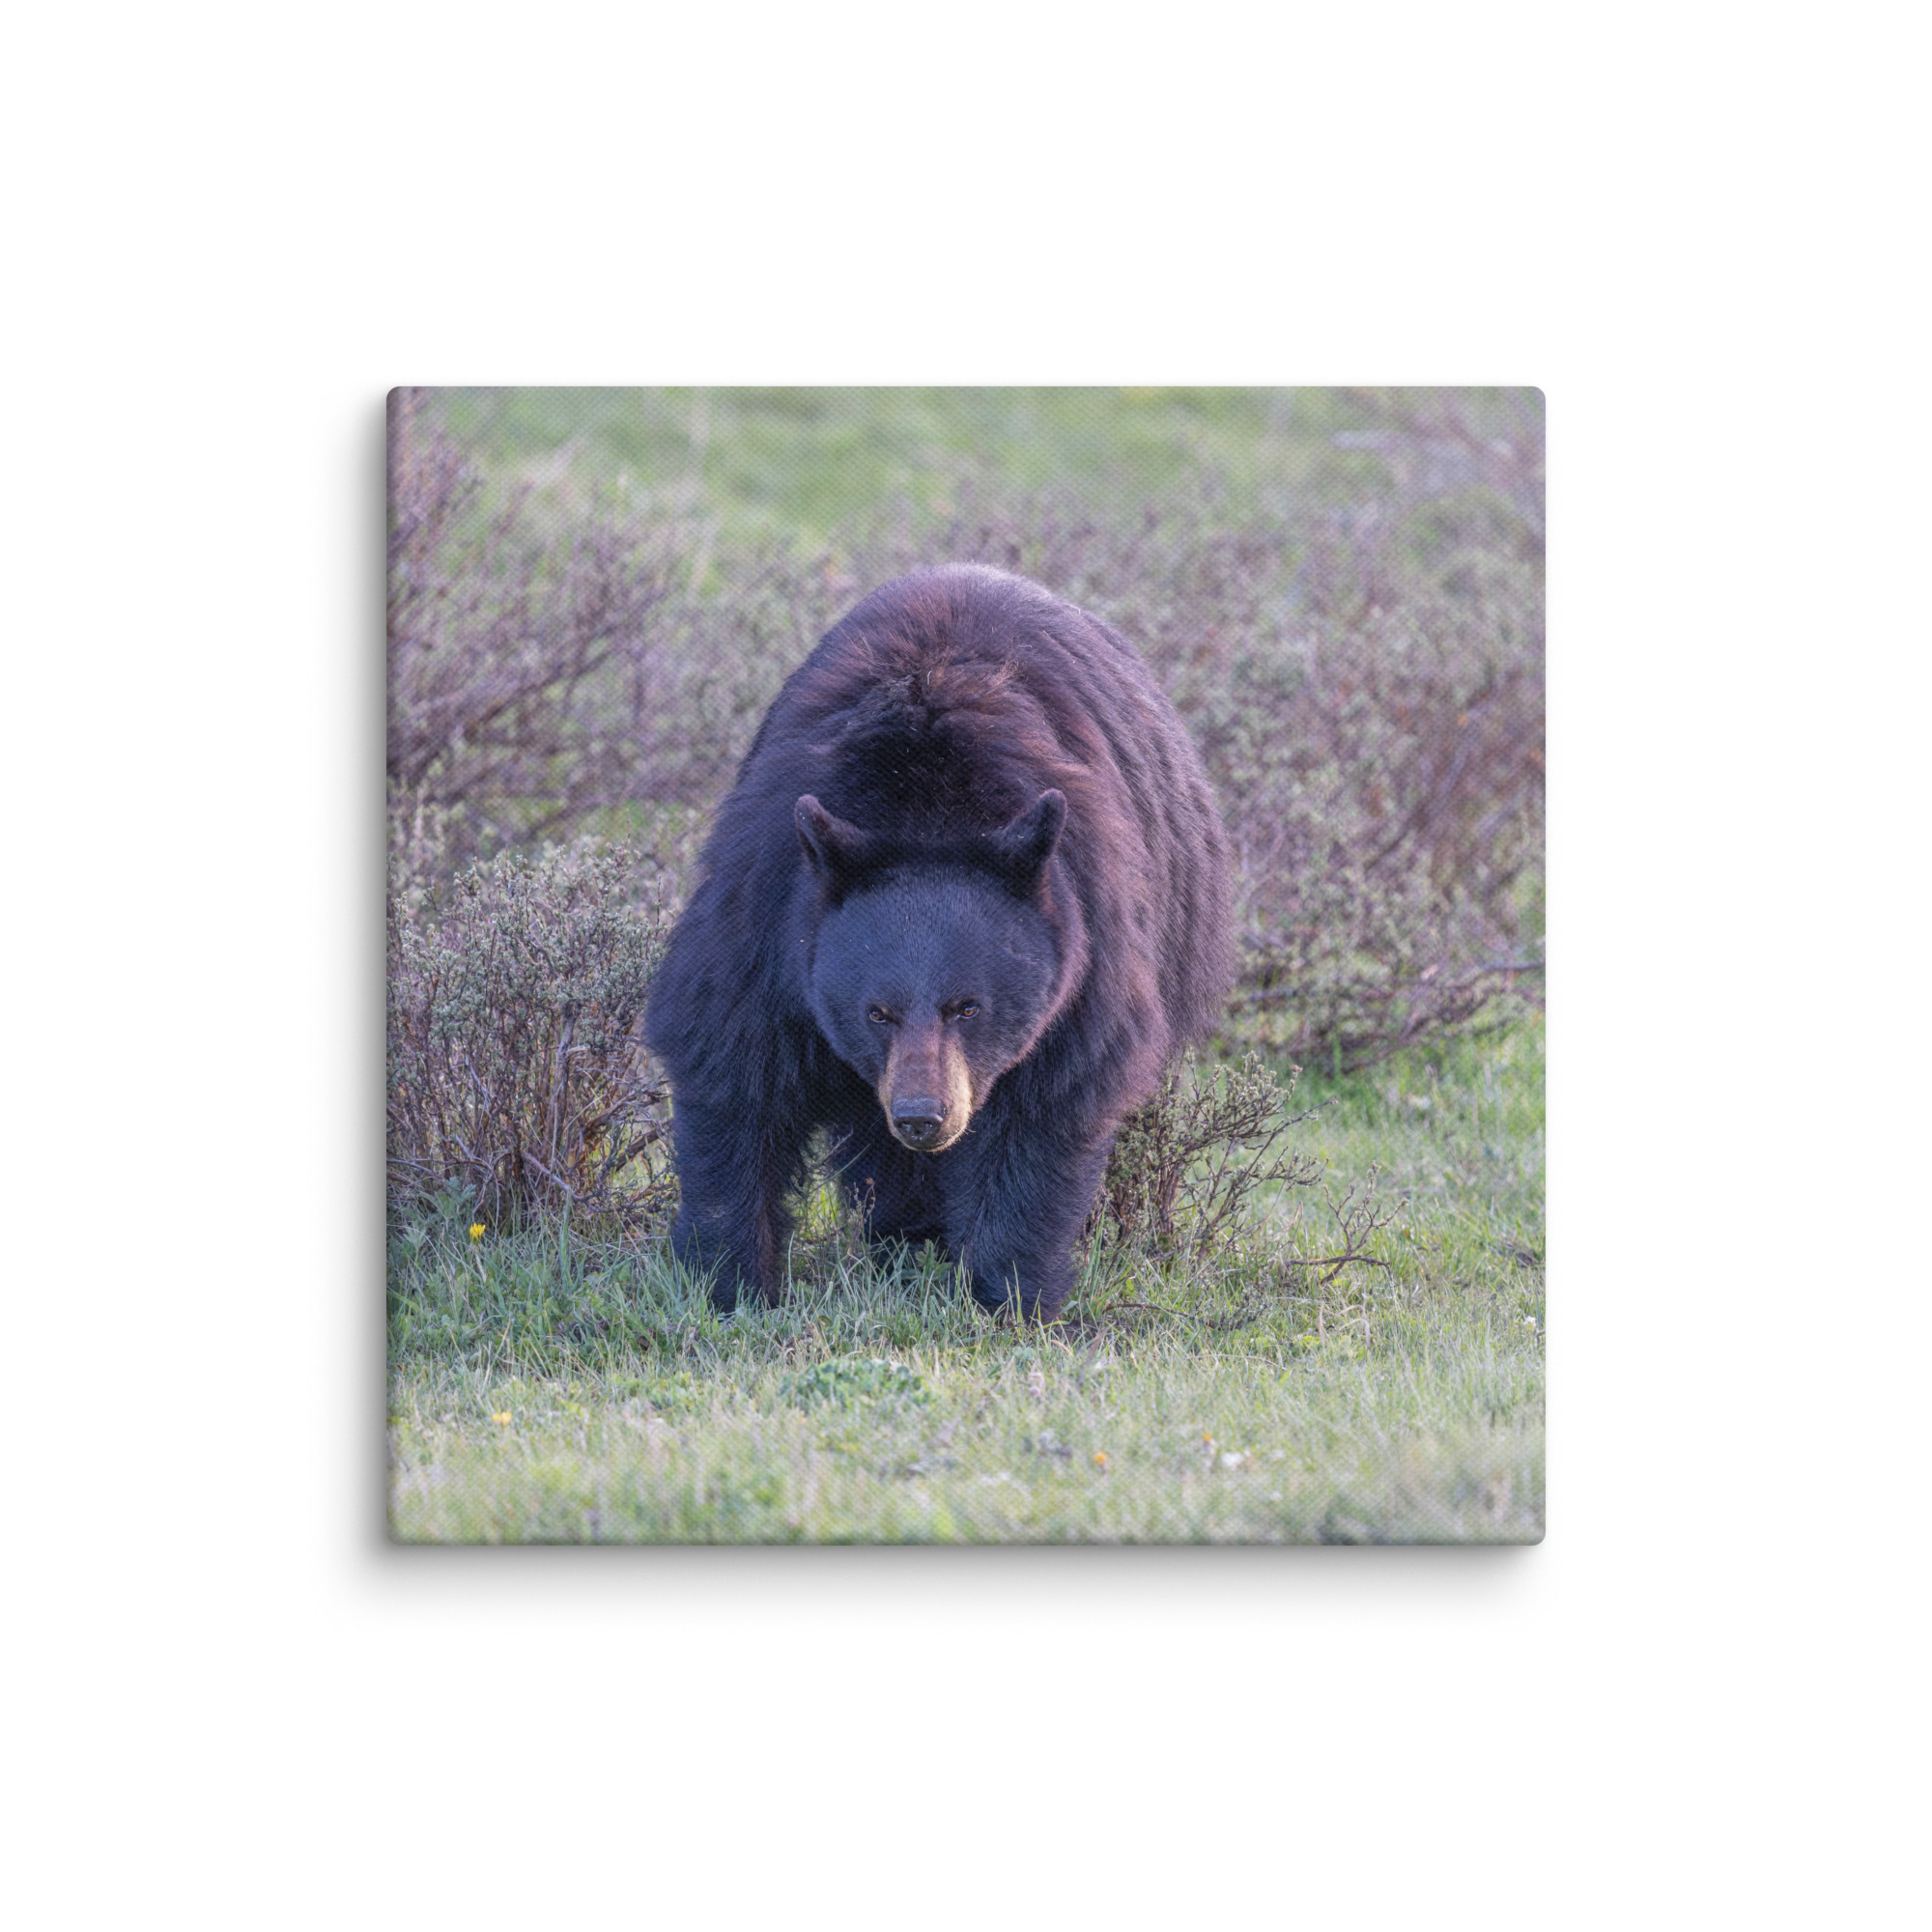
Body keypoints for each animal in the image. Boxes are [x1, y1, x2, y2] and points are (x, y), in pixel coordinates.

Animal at [644, 563, 1234, 1319]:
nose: (924, 1117)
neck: (924, 806)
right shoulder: (769, 910)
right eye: (877, 1011)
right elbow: (733, 1069)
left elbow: (1046, 1106)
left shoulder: (1087, 938)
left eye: (968, 1006)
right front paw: (731, 1281)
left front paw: (1010, 1294)